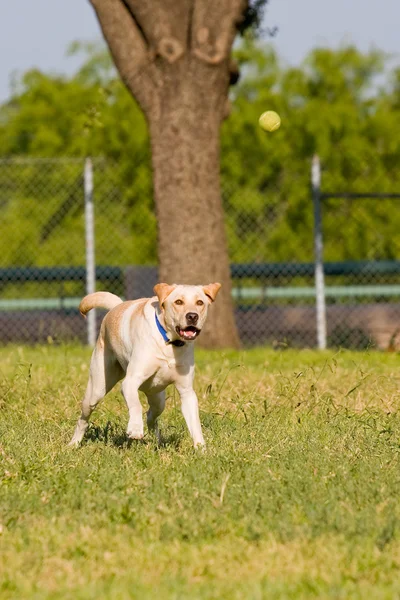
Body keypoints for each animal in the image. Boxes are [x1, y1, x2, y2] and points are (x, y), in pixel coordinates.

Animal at [70, 284, 222, 448]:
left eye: (200, 302)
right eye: (178, 302)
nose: (192, 316)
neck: (169, 343)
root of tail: (117, 306)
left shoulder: (186, 391)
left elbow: (195, 424)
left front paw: (201, 449)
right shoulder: (130, 382)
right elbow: (136, 405)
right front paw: (135, 429)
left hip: (158, 399)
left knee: (151, 415)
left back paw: (157, 440)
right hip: (96, 390)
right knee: (83, 419)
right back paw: (73, 443)